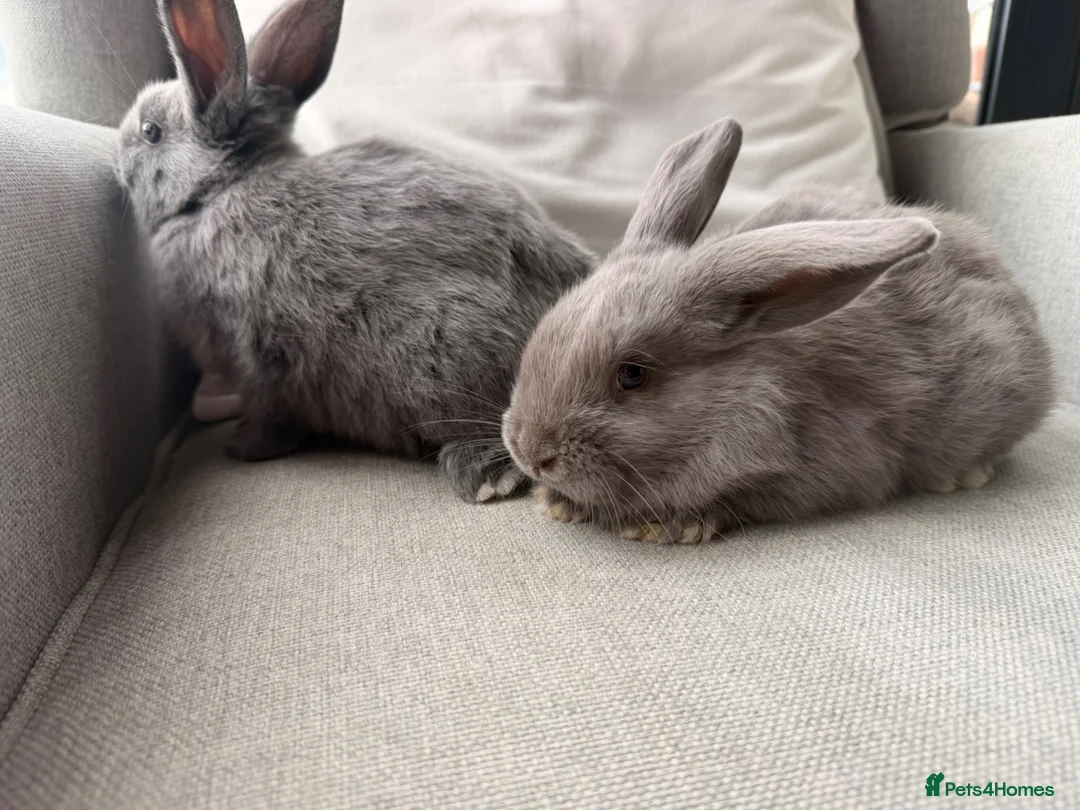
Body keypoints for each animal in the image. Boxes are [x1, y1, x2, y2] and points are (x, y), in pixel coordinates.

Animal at [114, 0, 594, 502]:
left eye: (150, 131)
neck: (218, 189)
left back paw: (485, 479)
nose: (117, 161)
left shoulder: (251, 350)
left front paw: (242, 450)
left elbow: (266, 411)